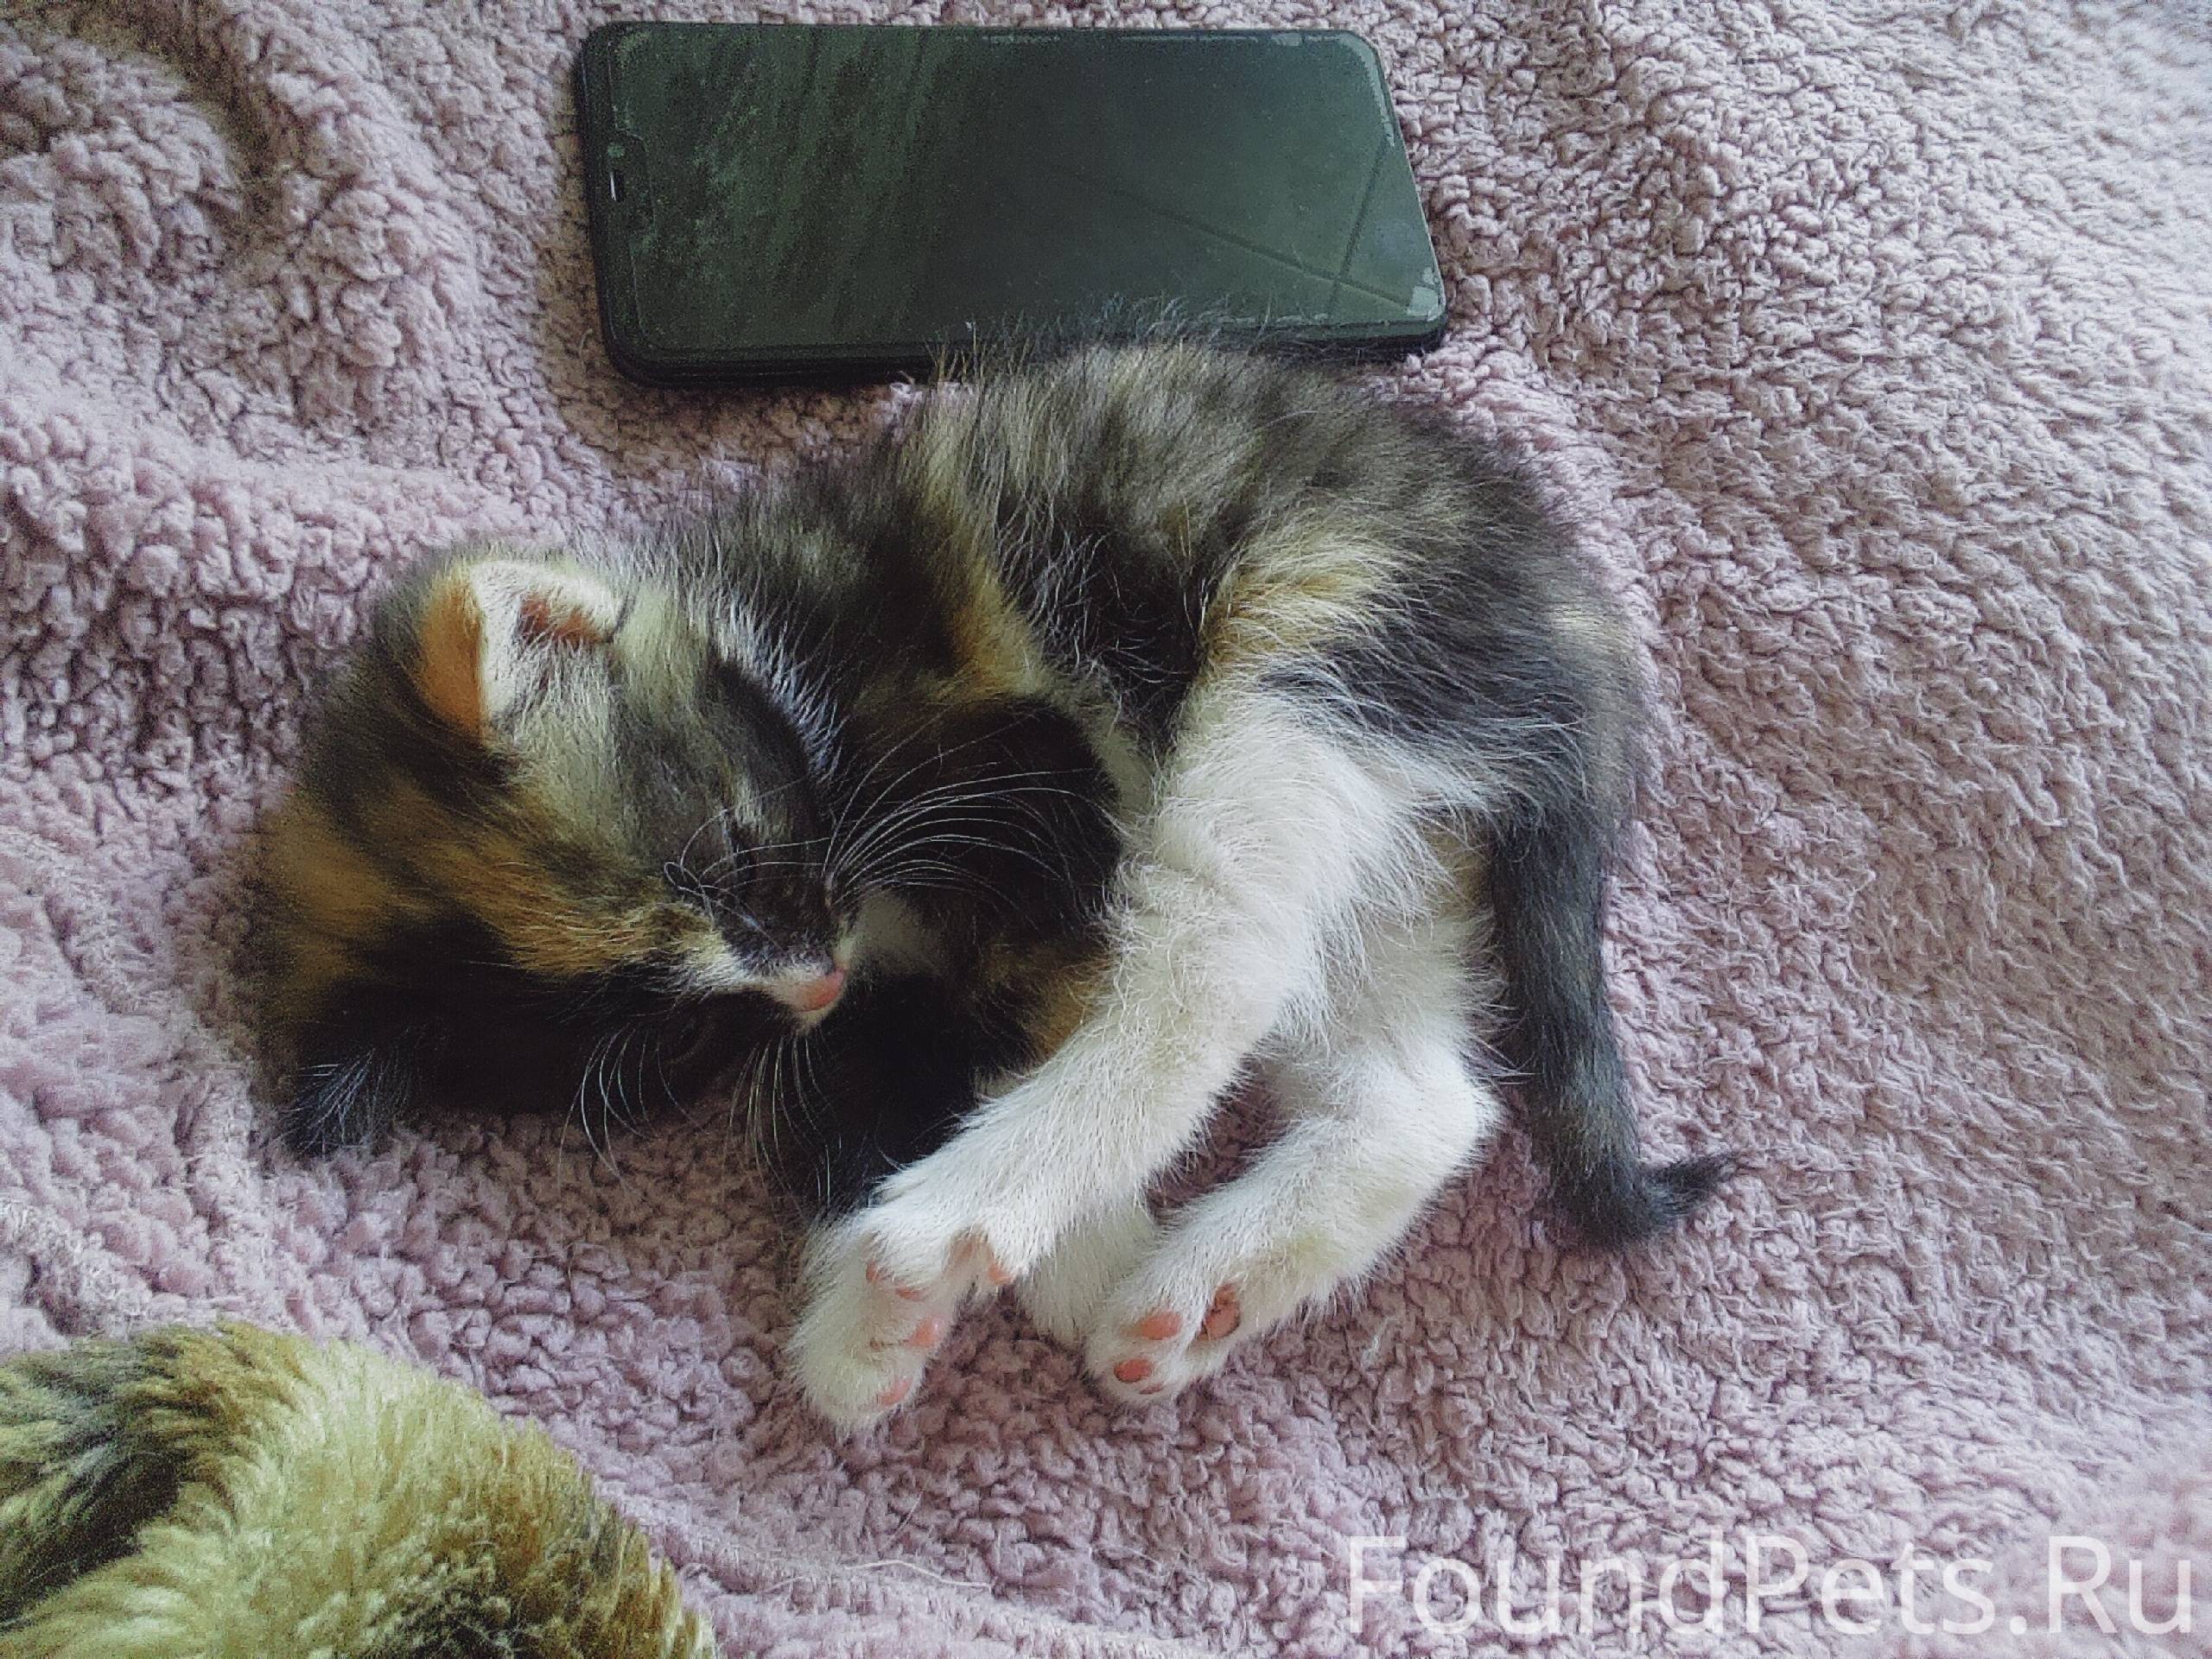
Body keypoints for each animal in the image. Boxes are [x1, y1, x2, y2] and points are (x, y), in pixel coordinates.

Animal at [260, 341, 1728, 1430]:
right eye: (678, 1039)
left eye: (737, 850)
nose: (807, 977)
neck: (784, 645)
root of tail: (1579, 624)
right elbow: (865, 1068)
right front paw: (918, 1301)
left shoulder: (1042, 781)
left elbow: (1035, 996)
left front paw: (960, 1269)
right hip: (1407, 836)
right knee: (1422, 1098)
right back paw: (1193, 1291)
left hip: (1324, 632)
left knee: (1216, 963)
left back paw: (972, 1212)